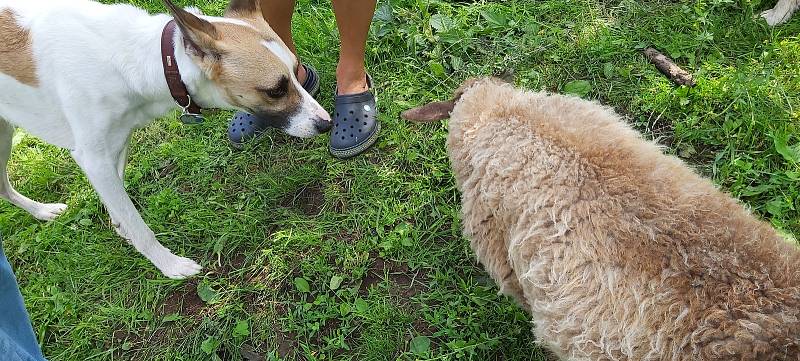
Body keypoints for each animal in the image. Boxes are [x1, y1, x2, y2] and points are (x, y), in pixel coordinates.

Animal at [0, 0, 332, 278]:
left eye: (296, 71)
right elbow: (138, 224)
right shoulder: (92, 157)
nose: (326, 124)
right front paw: (170, 264)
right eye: (275, 90)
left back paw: (42, 211)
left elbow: (120, 198)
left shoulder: (117, 141)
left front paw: (119, 225)